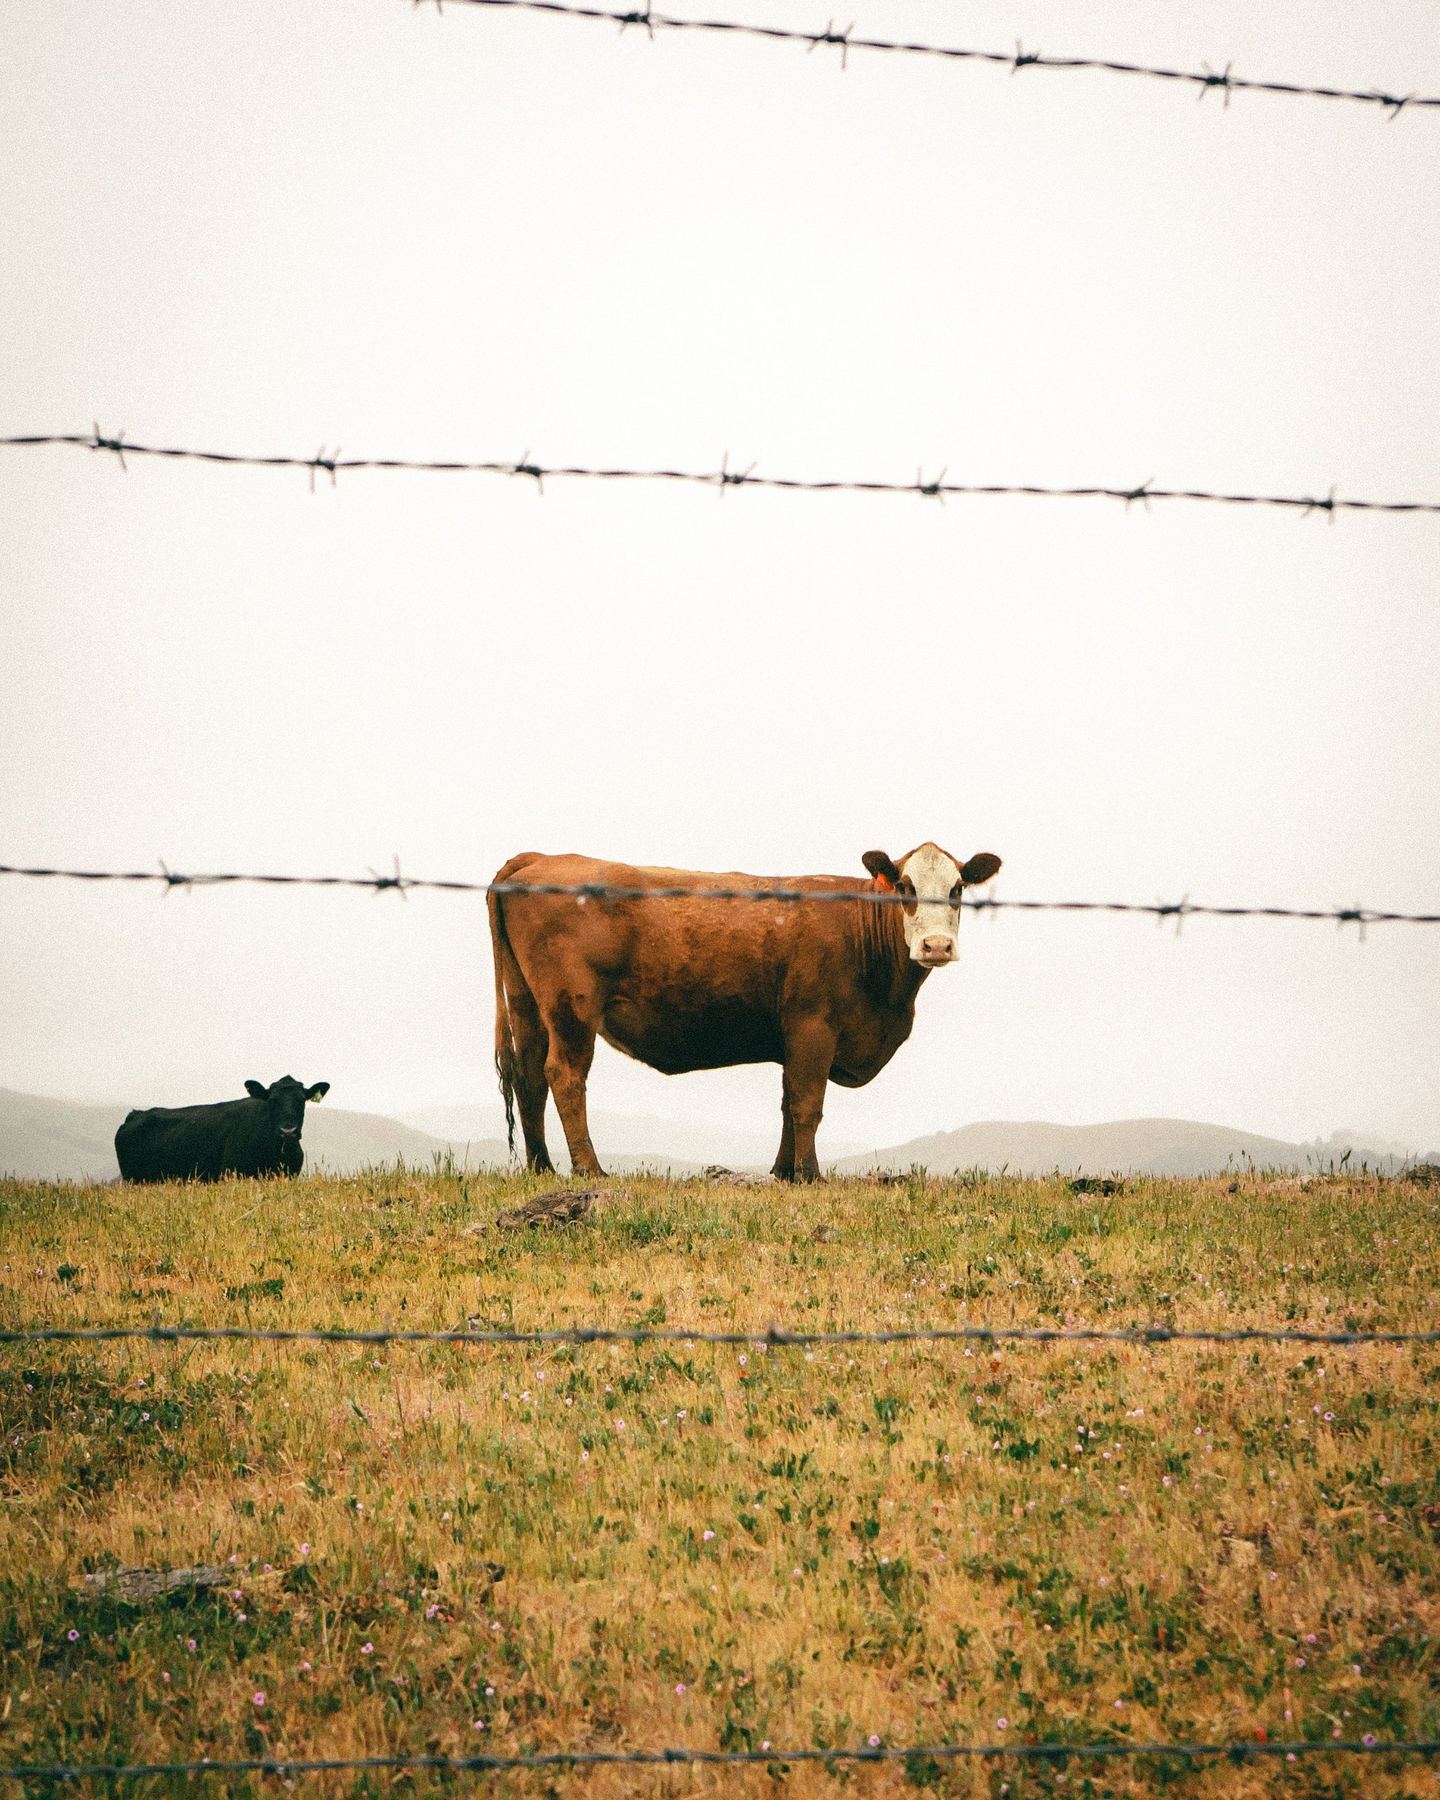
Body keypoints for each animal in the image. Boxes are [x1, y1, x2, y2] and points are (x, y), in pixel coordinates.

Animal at [488, 843, 1001, 1183]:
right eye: (905, 887)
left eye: (957, 888)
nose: (936, 945)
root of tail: (539, 858)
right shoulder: (813, 1025)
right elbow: (807, 1103)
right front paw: (810, 1175)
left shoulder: (795, 1038)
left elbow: (788, 1102)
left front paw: (783, 1172)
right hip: (571, 1007)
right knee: (565, 1075)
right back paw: (589, 1170)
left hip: (527, 1003)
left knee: (530, 1076)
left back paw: (541, 1167)